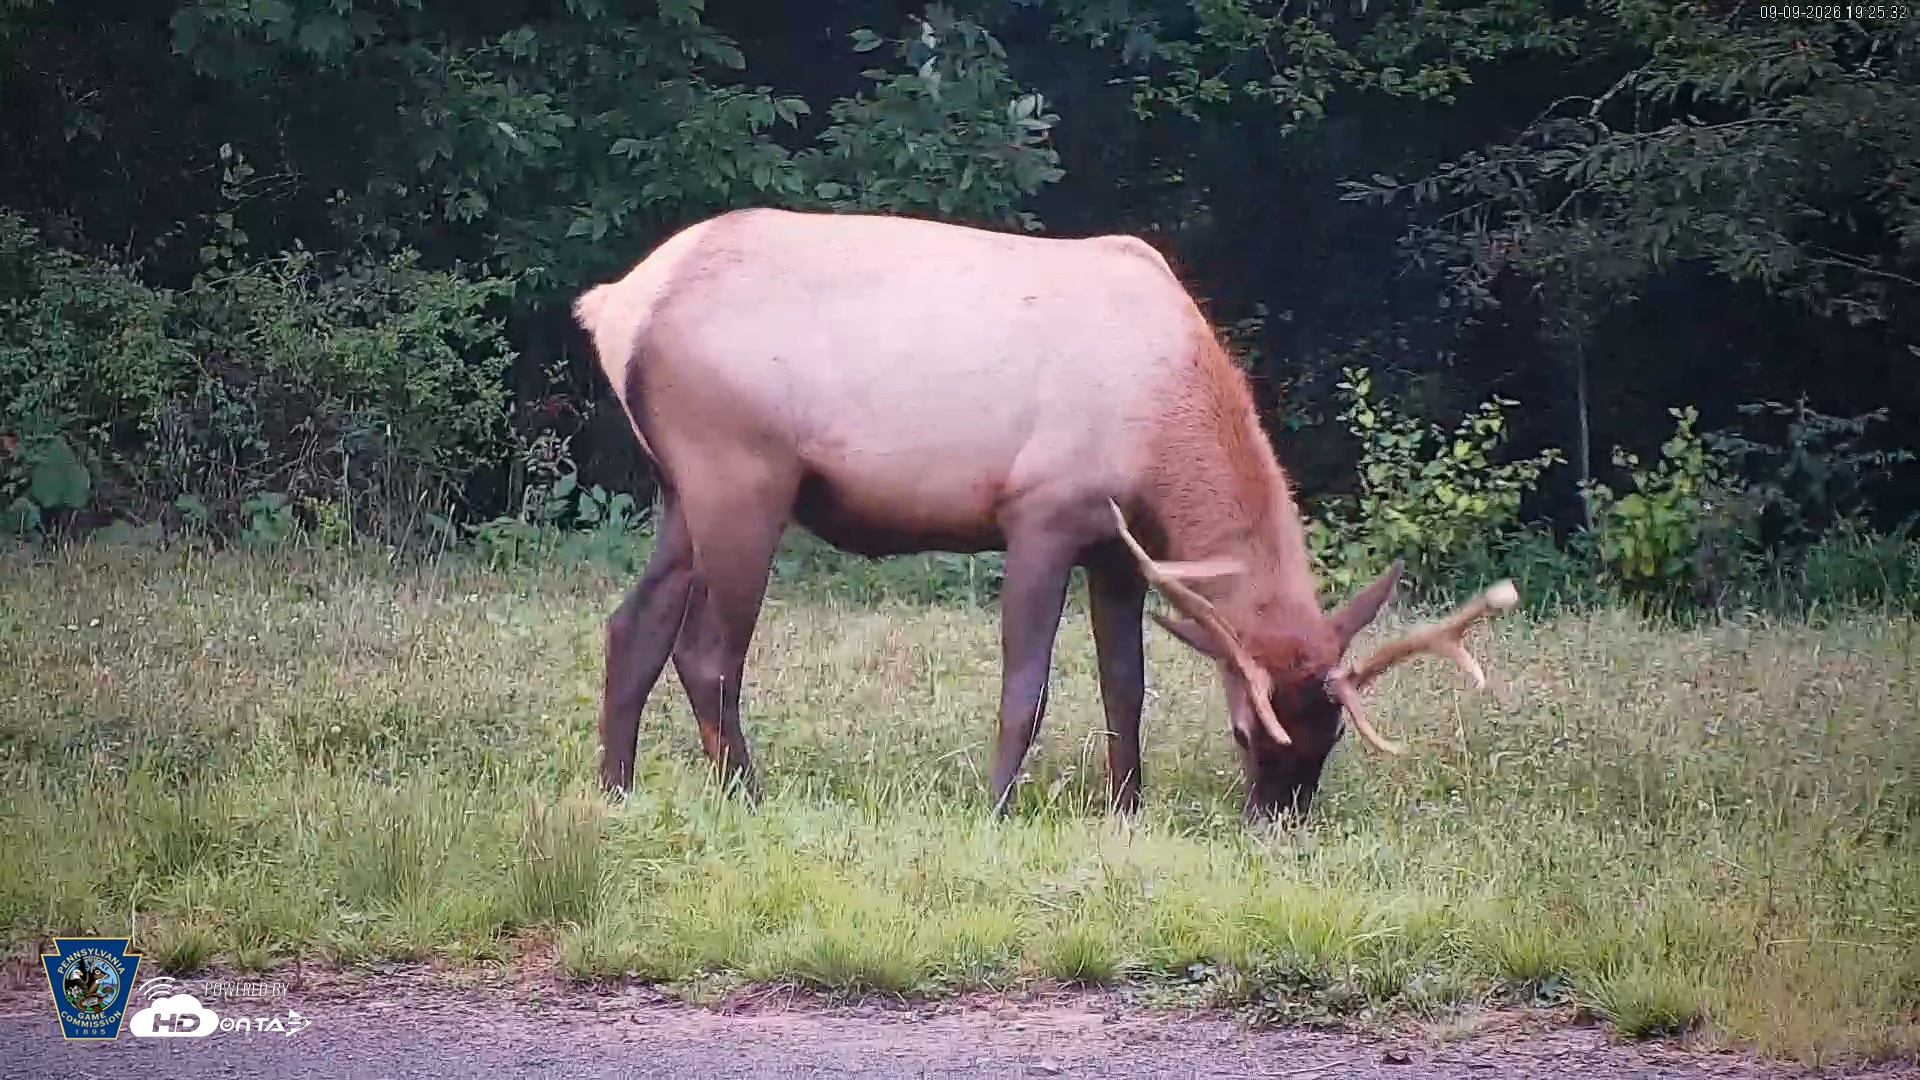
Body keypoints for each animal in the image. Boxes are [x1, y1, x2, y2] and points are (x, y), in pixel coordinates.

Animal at [572, 206, 1519, 822]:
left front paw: (1127, 809)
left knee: (632, 626)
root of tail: (615, 305)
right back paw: (750, 800)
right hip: (743, 473)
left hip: (681, 490)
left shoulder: (1117, 547)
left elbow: (1125, 686)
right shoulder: (1042, 511)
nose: (1277, 824)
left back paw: (616, 792)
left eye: (1329, 741)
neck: (1159, 433)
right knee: (707, 650)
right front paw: (995, 810)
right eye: (1248, 732)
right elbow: (1025, 686)